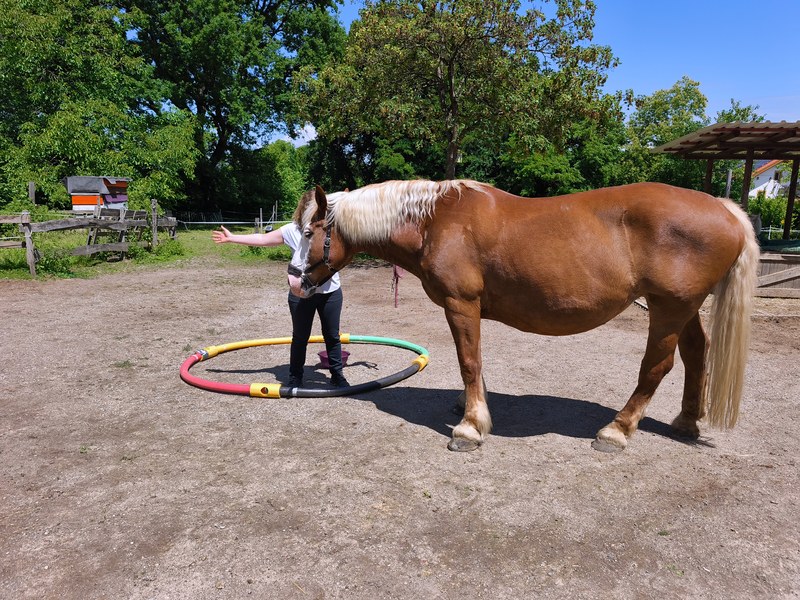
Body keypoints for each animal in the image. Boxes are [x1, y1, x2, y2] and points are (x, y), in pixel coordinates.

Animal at [288, 180, 759, 452]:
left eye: (309, 233)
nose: (295, 283)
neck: (436, 220)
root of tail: (726, 209)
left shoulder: (461, 304)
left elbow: (469, 360)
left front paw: (470, 427)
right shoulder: (471, 310)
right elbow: (476, 363)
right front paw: (472, 406)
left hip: (668, 308)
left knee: (658, 367)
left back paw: (617, 431)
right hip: (684, 308)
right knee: (697, 353)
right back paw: (686, 422)